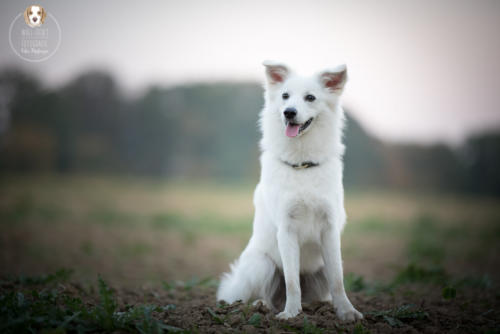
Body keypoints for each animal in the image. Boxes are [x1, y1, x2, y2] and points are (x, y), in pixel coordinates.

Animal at [216, 61, 364, 322]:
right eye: (285, 96)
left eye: (310, 97)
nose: (289, 112)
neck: (302, 164)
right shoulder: (286, 229)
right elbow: (292, 281)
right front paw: (291, 314)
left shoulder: (329, 229)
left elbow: (338, 281)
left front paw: (346, 312)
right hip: (262, 265)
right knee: (265, 294)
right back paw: (263, 307)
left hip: (320, 269)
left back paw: (320, 306)